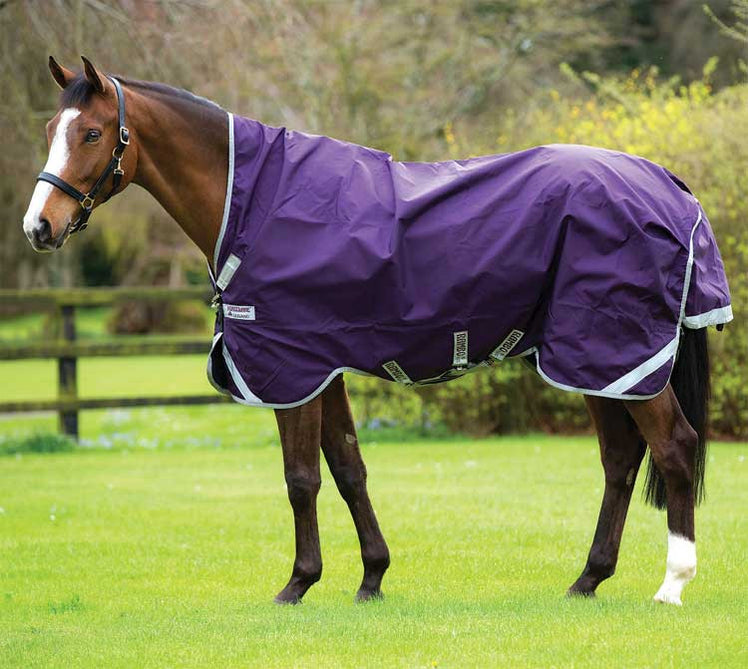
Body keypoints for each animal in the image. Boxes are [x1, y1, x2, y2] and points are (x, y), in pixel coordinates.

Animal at [22, 56, 732, 606]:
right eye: (51, 129)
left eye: (91, 133)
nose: (39, 226)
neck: (256, 203)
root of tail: (666, 182)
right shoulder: (323, 368)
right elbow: (347, 469)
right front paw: (371, 578)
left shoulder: (290, 367)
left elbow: (301, 478)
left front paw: (297, 584)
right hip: (596, 361)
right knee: (620, 459)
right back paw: (587, 580)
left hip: (617, 351)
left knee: (673, 447)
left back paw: (672, 584)